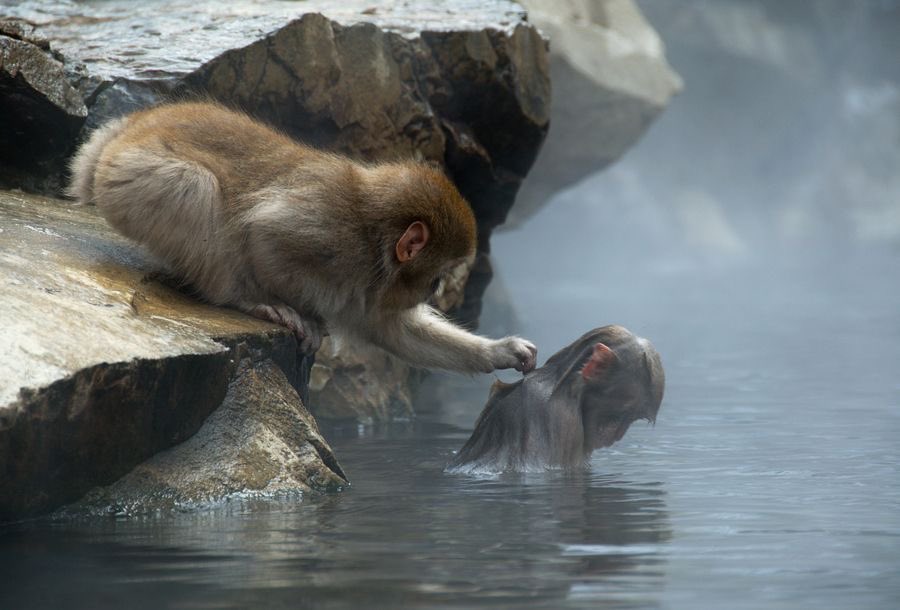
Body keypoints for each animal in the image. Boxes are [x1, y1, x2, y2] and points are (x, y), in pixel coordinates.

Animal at [68, 102, 537, 374]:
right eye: (437, 277)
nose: (432, 294)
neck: (373, 240)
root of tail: (125, 132)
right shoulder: (328, 232)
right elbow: (264, 234)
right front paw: (287, 307)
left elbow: (387, 328)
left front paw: (500, 352)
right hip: (129, 180)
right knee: (193, 186)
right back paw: (240, 298)